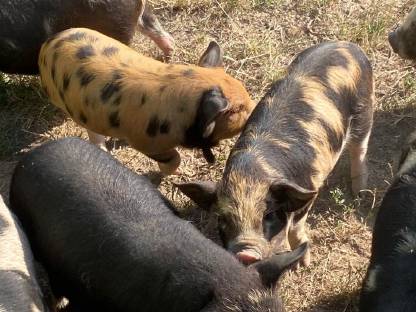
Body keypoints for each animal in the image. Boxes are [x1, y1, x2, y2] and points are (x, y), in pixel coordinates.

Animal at [38, 28, 254, 176]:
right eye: (237, 109)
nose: (254, 107)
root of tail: (48, 43)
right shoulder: (145, 143)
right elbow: (174, 157)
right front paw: (174, 173)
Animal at [177, 40, 376, 266]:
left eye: (268, 214)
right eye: (222, 219)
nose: (245, 253)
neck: (252, 173)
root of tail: (350, 46)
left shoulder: (308, 189)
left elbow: (296, 227)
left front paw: (303, 264)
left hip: (365, 109)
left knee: (359, 148)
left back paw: (360, 193)